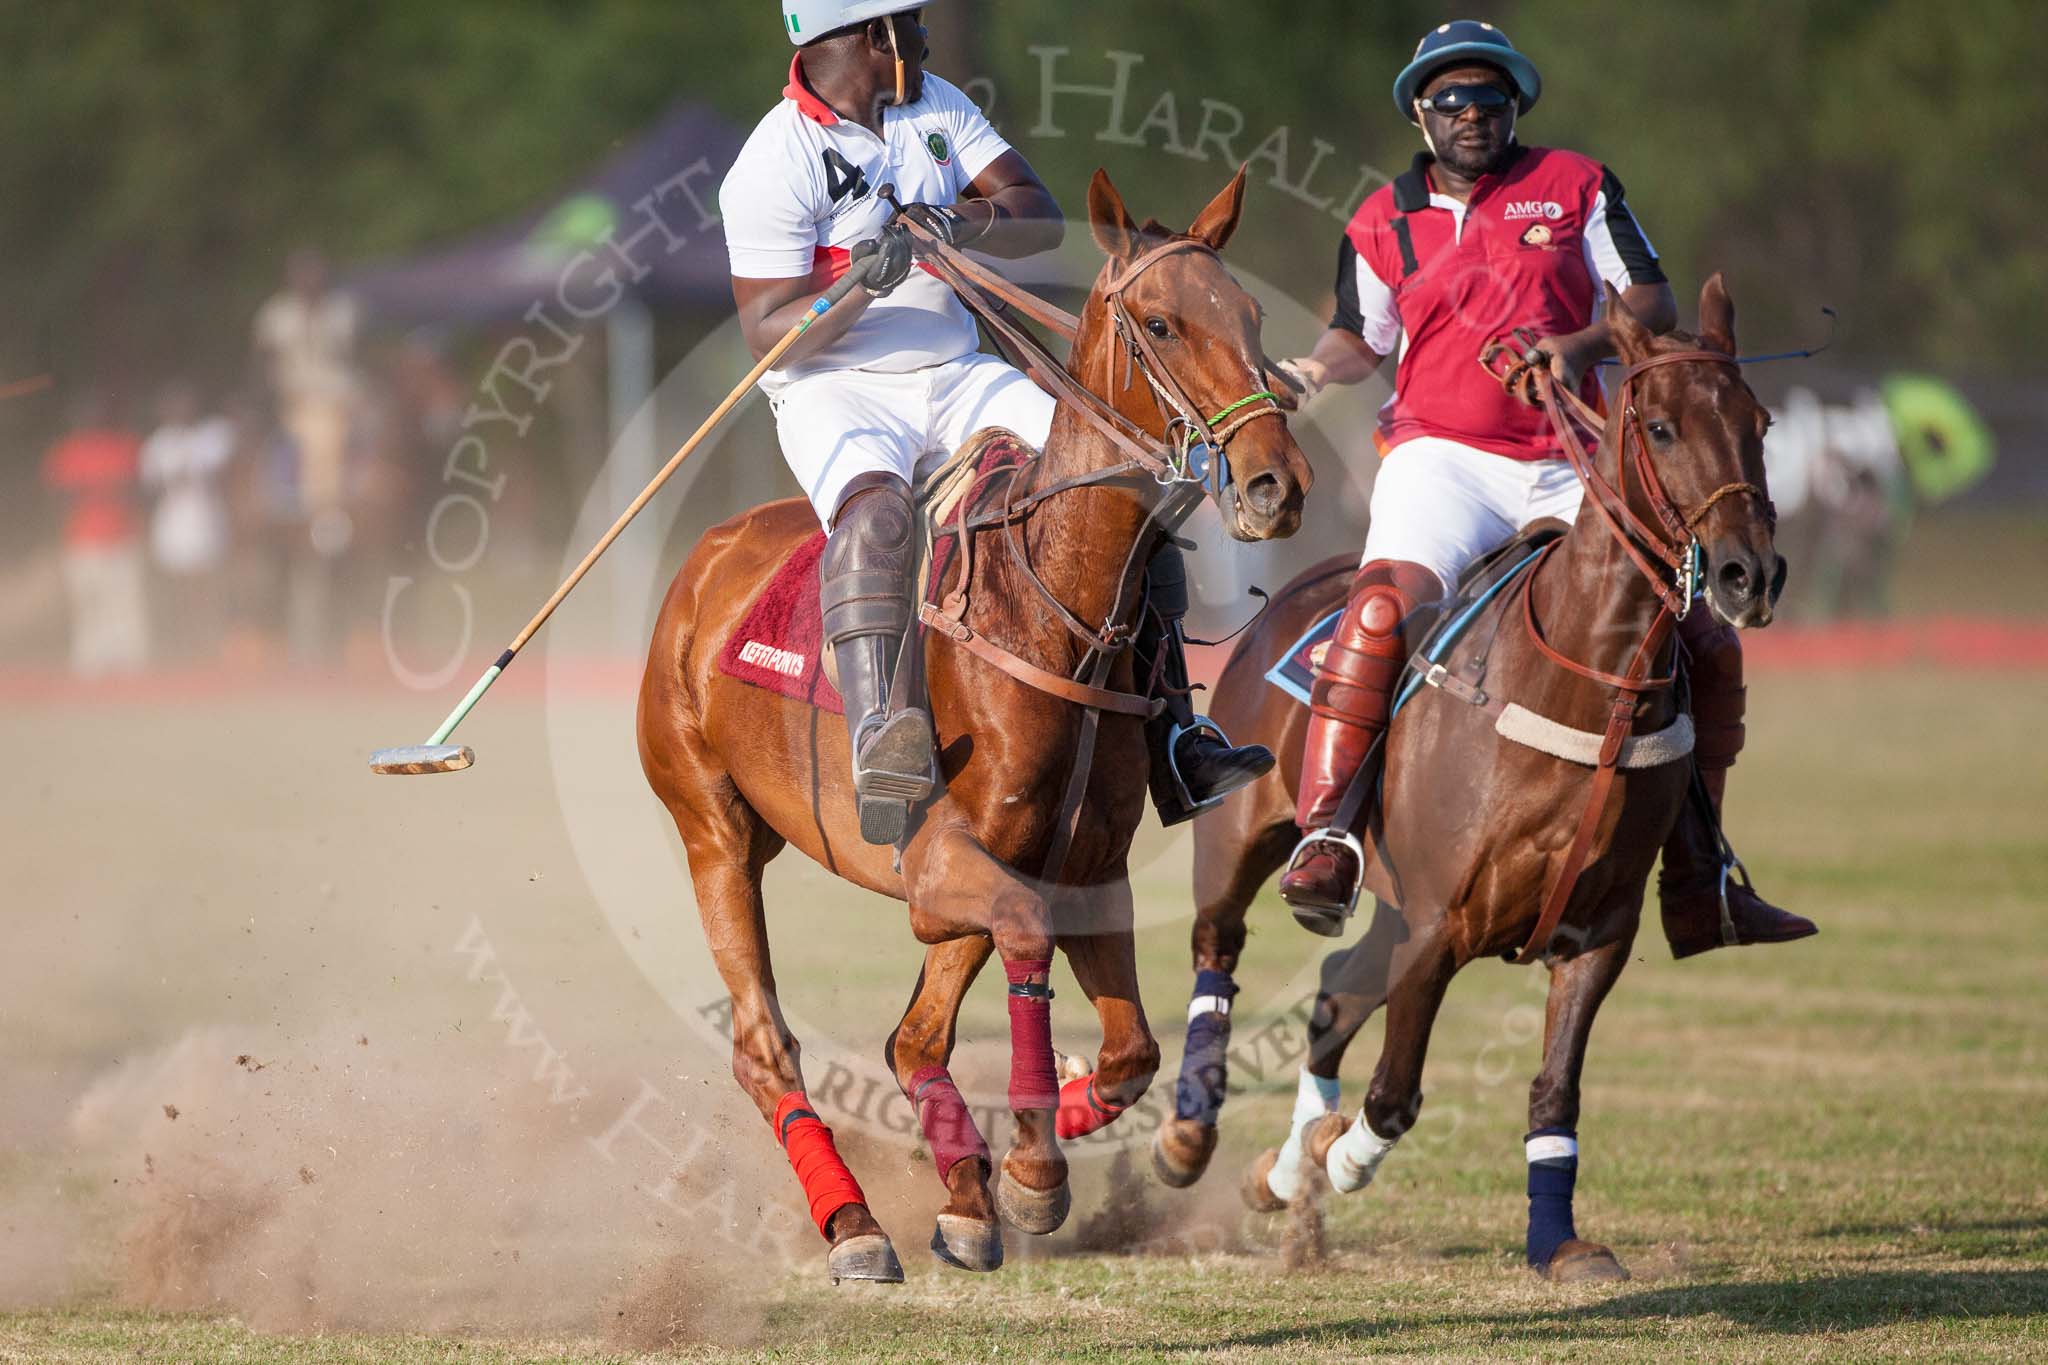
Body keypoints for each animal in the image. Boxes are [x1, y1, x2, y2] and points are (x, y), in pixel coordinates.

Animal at [634, 165, 1310, 1285]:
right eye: (1161, 324)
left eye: (1251, 315)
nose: (1275, 485)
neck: (1053, 609)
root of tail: (702, 562)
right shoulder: (948, 861)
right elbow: (1011, 954)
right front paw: (1030, 1172)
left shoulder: (1083, 868)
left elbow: (1125, 1051)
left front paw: (1028, 1155)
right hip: (710, 831)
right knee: (765, 1045)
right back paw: (857, 1224)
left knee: (910, 1039)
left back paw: (950, 1191)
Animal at [1155, 278, 1777, 1285]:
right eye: (1659, 425)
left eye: (1759, 423)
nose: (1747, 573)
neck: (1590, 684)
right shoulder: (1440, 924)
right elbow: (1394, 1094)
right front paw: (1335, 1155)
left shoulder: (1595, 933)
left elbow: (1553, 1092)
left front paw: (1560, 1243)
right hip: (1242, 831)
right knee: (1222, 944)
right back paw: (1190, 1136)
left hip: (1389, 898)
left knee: (1335, 986)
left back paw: (1281, 1178)